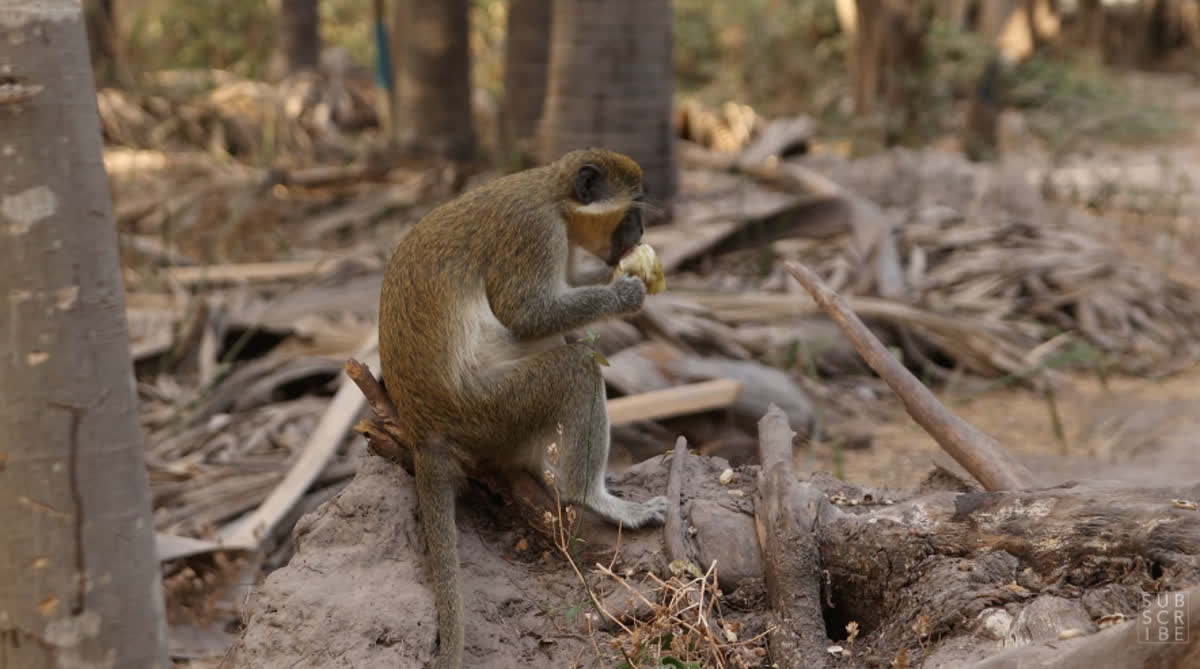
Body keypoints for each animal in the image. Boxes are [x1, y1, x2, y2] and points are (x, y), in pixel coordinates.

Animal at [377, 148, 669, 669]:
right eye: (631, 213)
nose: (639, 235)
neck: (553, 193)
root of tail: (422, 428)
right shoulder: (535, 232)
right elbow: (527, 313)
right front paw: (627, 292)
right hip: (491, 412)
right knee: (576, 367)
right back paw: (591, 497)